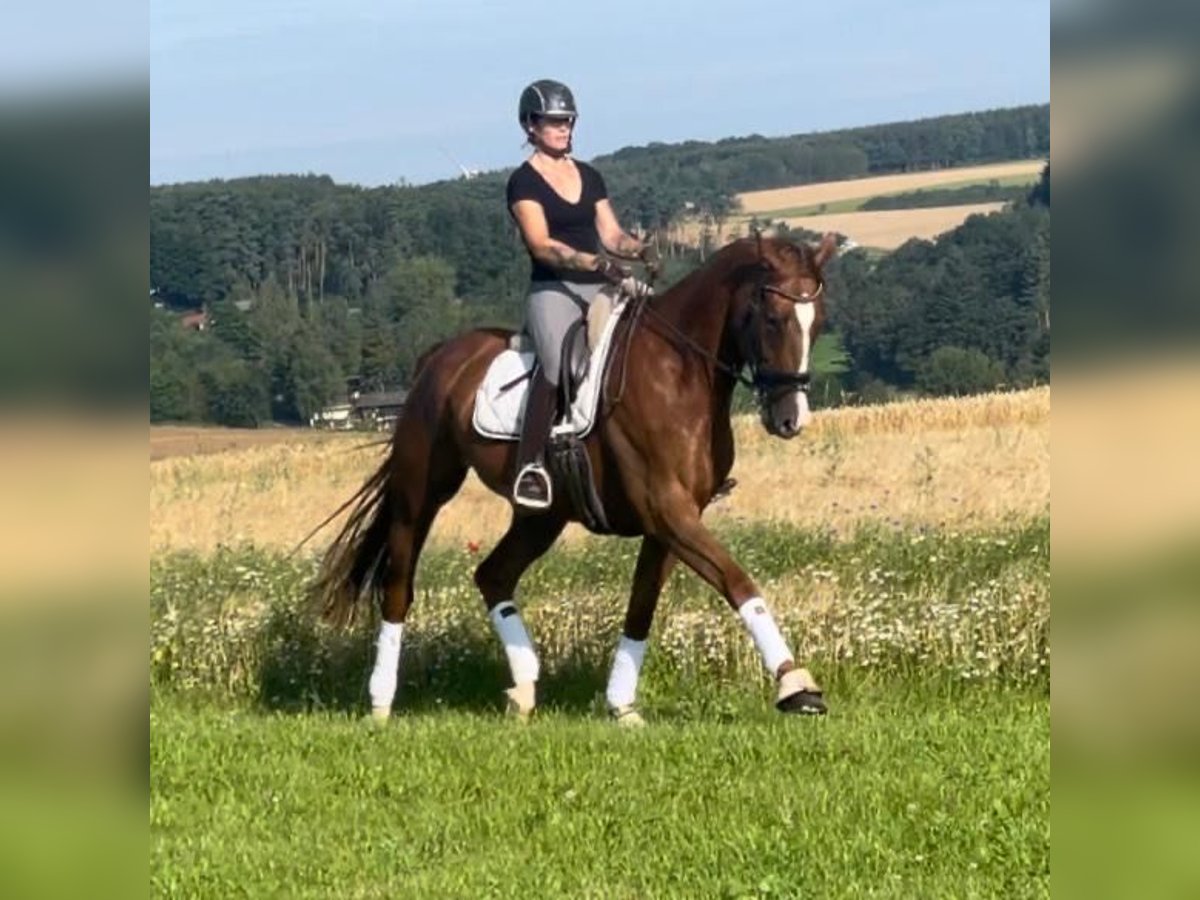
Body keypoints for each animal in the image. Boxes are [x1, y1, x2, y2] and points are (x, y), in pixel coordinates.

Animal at [309, 232, 835, 724]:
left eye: (818, 322)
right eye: (774, 319)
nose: (791, 419)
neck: (683, 373)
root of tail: (439, 356)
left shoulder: (672, 521)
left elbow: (641, 607)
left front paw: (622, 705)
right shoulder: (668, 510)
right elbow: (737, 581)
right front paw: (797, 686)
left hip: (542, 516)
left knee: (493, 575)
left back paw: (524, 688)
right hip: (421, 492)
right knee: (399, 584)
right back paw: (381, 702)